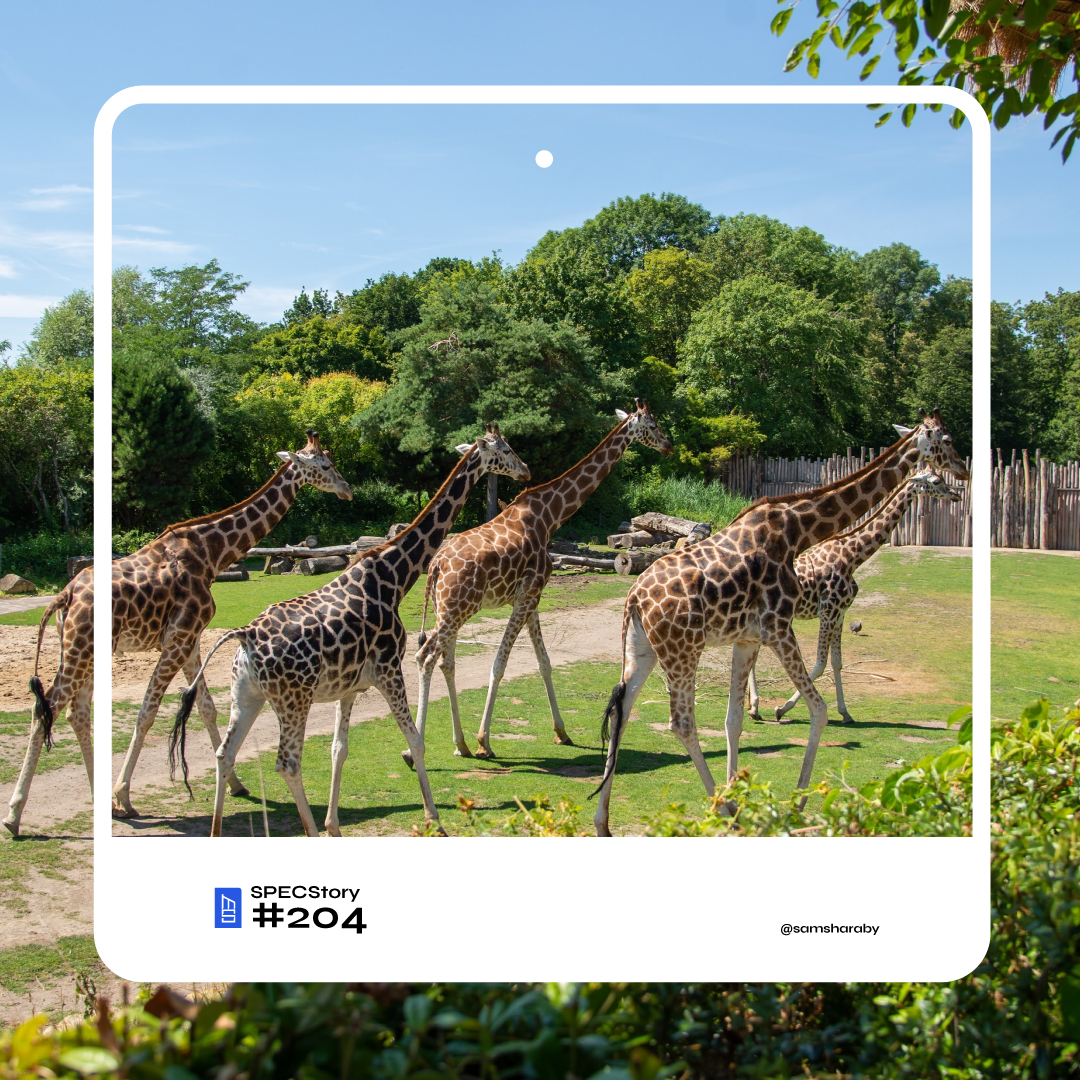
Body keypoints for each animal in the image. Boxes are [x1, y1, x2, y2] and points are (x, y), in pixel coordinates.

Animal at [2, 430, 351, 836]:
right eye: (324, 465)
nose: (347, 489)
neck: (212, 552)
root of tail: (65, 594)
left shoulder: (192, 639)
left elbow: (206, 707)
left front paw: (235, 784)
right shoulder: (178, 636)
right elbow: (148, 711)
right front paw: (123, 795)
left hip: (84, 650)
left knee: (77, 712)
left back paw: (95, 797)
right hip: (79, 649)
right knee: (47, 708)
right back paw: (15, 815)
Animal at [171, 426, 530, 837]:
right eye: (505, 450)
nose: (525, 471)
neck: (395, 576)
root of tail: (243, 638)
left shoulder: (349, 687)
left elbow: (338, 750)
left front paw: (334, 825)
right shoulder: (389, 670)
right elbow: (415, 741)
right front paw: (434, 819)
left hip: (246, 696)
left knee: (225, 753)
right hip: (294, 700)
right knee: (287, 763)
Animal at [408, 400, 673, 765]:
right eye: (653, 424)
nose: (669, 445)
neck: (550, 516)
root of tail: (435, 565)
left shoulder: (532, 597)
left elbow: (545, 663)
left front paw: (562, 732)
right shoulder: (528, 594)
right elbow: (500, 664)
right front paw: (485, 740)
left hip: (444, 610)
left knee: (444, 661)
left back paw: (459, 744)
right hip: (456, 610)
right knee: (426, 657)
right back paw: (420, 750)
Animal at [747, 468, 963, 725]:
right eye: (937, 481)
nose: (956, 495)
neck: (853, 556)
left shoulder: (841, 612)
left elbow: (837, 662)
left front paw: (845, 712)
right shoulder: (829, 610)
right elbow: (820, 664)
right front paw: (782, 708)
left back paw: (753, 708)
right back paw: (755, 707)